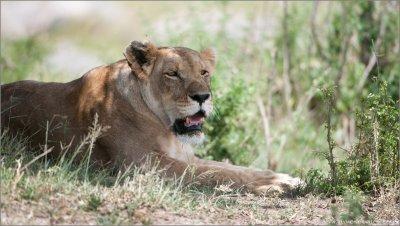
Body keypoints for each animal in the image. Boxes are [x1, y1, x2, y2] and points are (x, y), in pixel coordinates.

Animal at [0, 41, 300, 194]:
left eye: (204, 72)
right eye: (172, 74)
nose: (203, 96)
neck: (167, 128)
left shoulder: (185, 156)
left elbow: (231, 168)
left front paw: (283, 178)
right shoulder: (142, 166)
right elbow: (214, 174)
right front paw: (274, 185)